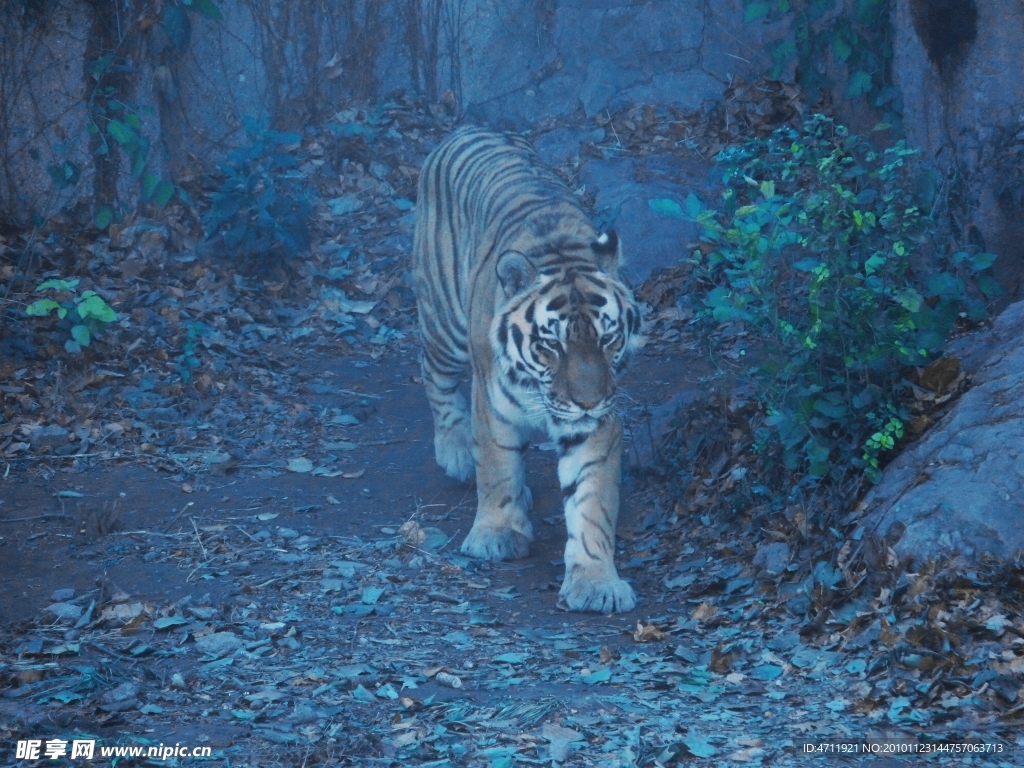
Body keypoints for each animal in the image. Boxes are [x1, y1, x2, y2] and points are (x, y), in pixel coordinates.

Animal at [413, 127, 643, 613]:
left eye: (608, 339)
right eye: (552, 345)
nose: (588, 401)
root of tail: (466, 129)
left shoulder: (598, 422)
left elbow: (591, 500)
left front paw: (596, 582)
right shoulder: (491, 402)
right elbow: (498, 464)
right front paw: (497, 535)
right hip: (444, 323)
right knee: (434, 373)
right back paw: (456, 452)